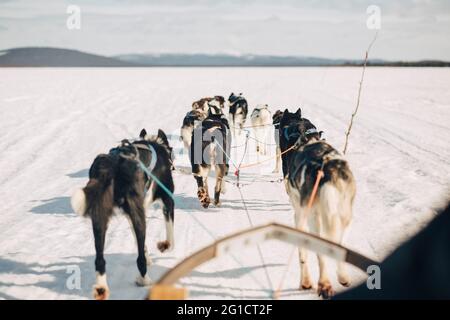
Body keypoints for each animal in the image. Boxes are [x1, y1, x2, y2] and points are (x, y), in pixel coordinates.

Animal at [70, 129, 174, 298]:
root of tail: (111, 165)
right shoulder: (167, 199)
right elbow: (170, 238)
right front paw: (164, 246)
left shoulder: (131, 214)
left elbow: (141, 245)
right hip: (137, 214)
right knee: (139, 259)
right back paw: (144, 279)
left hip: (100, 217)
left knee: (100, 260)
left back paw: (101, 288)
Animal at [278, 109, 356, 298]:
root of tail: (326, 170)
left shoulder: (299, 215)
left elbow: (303, 255)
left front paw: (305, 282)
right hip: (344, 218)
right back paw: (342, 277)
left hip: (313, 219)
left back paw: (320, 283)